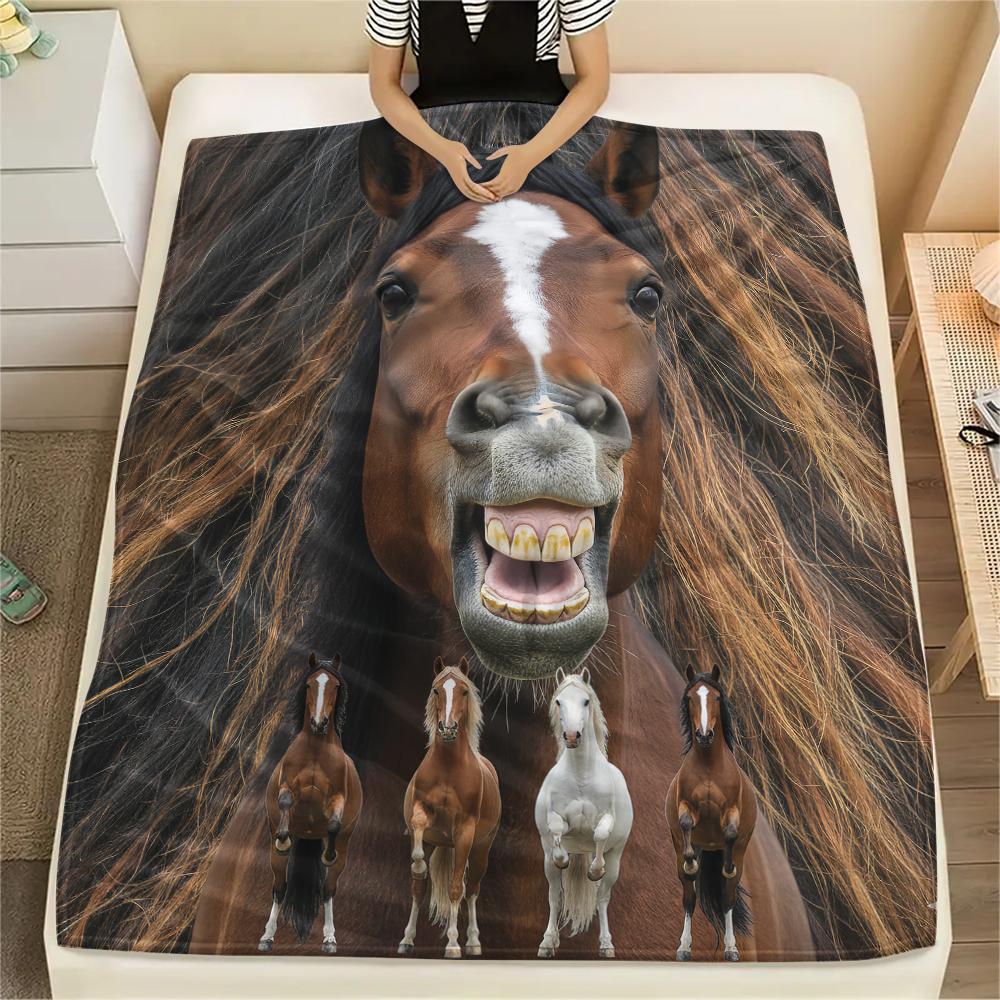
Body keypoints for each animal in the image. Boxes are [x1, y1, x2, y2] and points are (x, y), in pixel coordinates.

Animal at [257, 654, 362, 955]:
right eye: (309, 684)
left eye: (335, 686)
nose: (318, 723)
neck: (315, 749)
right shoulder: (287, 785)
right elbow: (284, 800)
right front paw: (283, 837)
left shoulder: (338, 797)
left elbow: (334, 821)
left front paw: (328, 852)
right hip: (276, 861)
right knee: (279, 888)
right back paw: (267, 937)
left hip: (342, 857)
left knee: (327, 889)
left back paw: (329, 940)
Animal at [398, 657, 500, 959]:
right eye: (436, 690)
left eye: (464, 691)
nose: (448, 728)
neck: (448, 768)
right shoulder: (421, 813)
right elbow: (418, 829)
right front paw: (418, 861)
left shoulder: (464, 832)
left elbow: (456, 889)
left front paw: (453, 944)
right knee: (419, 888)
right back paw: (407, 940)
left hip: (480, 851)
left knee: (472, 889)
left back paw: (473, 942)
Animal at [535, 669, 632, 959]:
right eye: (559, 701)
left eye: (586, 701)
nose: (571, 736)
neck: (580, 775)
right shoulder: (555, 819)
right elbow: (556, 832)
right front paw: (563, 859)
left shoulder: (606, 819)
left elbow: (600, 833)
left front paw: (594, 870)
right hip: (547, 863)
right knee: (555, 896)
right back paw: (547, 942)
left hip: (616, 860)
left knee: (602, 897)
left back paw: (606, 945)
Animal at [666, 665, 756, 962]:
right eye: (691, 698)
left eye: (716, 698)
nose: (704, 735)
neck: (708, 765)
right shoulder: (684, 806)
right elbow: (685, 822)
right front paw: (690, 861)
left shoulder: (732, 811)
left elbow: (730, 832)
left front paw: (726, 866)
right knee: (689, 897)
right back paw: (684, 948)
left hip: (738, 855)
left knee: (727, 897)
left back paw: (731, 949)